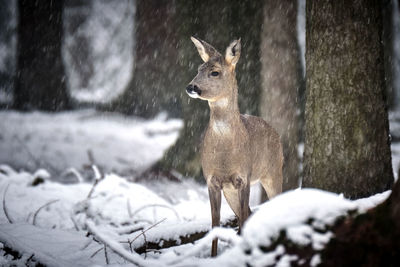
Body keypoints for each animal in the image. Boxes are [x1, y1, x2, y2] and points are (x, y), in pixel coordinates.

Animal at [186, 37, 282, 258]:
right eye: (198, 68)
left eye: (215, 72)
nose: (191, 87)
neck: (225, 153)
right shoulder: (211, 180)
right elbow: (215, 222)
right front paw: (213, 256)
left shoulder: (243, 177)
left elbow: (242, 218)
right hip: (231, 189)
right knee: (246, 214)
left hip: (273, 171)